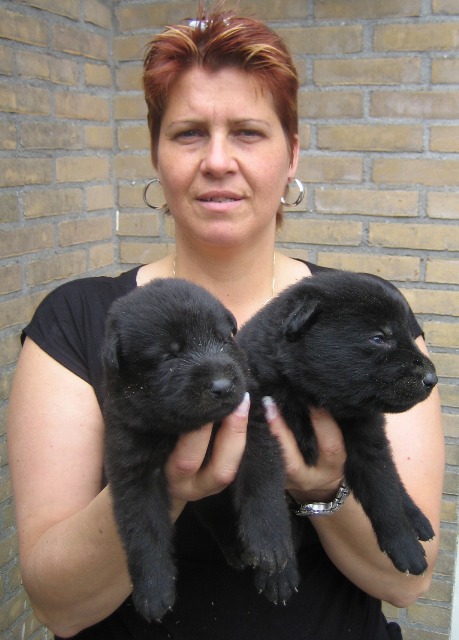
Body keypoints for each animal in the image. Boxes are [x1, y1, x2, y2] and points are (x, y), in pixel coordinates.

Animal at [102, 278, 248, 622]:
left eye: (222, 339)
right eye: (169, 356)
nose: (222, 386)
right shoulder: (132, 468)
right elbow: (143, 528)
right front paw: (153, 591)